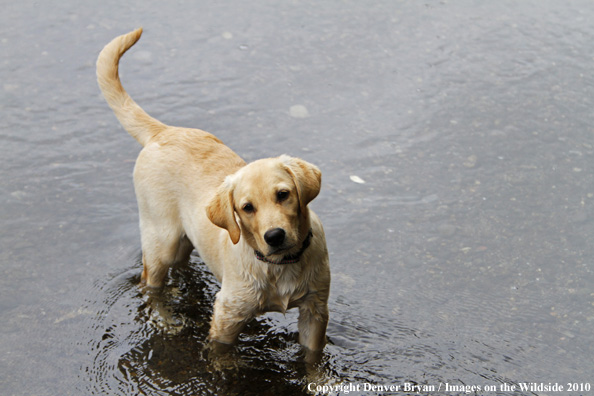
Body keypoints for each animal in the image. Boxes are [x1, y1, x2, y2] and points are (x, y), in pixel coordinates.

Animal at [96, 29, 328, 360]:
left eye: (283, 194)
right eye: (247, 208)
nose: (275, 236)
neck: (280, 266)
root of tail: (163, 131)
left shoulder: (315, 311)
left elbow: (312, 357)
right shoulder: (227, 317)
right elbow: (221, 358)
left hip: (184, 237)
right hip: (160, 238)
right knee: (149, 284)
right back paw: (166, 319)